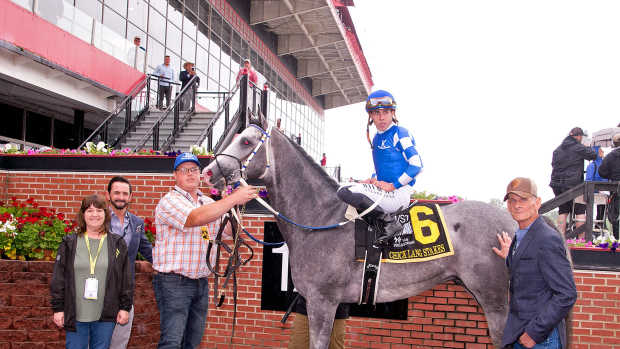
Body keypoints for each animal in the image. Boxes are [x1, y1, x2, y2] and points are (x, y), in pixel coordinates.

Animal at [205, 120, 520, 348]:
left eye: (246, 141)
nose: (209, 171)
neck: (321, 218)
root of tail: (514, 223)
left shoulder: (322, 302)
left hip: (495, 300)